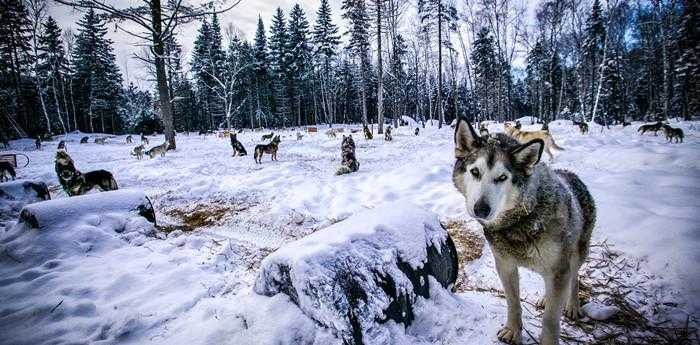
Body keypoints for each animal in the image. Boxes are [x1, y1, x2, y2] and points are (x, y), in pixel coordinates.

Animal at [452, 119, 592, 344]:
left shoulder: (559, 270)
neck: (522, 220)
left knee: (574, 277)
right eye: (475, 172)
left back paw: (572, 305)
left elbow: (550, 320)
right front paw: (512, 330)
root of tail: (570, 173)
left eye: (502, 177)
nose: (481, 209)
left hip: (576, 254)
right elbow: (513, 303)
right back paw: (546, 298)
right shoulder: (505, 265)